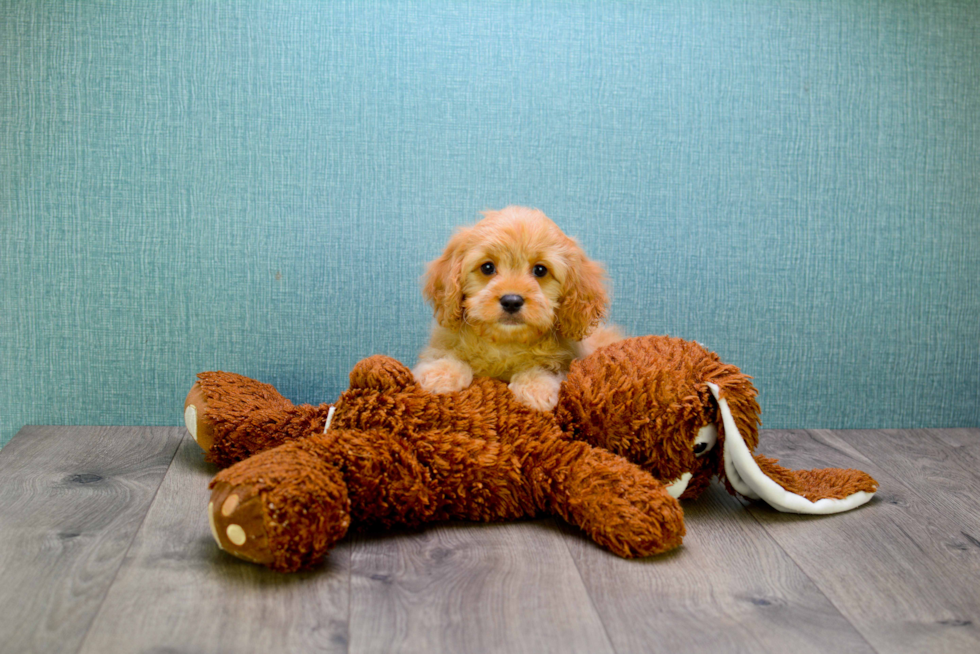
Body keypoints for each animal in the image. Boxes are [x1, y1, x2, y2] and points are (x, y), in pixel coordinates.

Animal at [414, 206, 612, 410]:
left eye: (540, 270)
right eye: (487, 267)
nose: (511, 301)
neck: (505, 343)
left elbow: (545, 368)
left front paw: (536, 387)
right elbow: (445, 354)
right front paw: (441, 373)